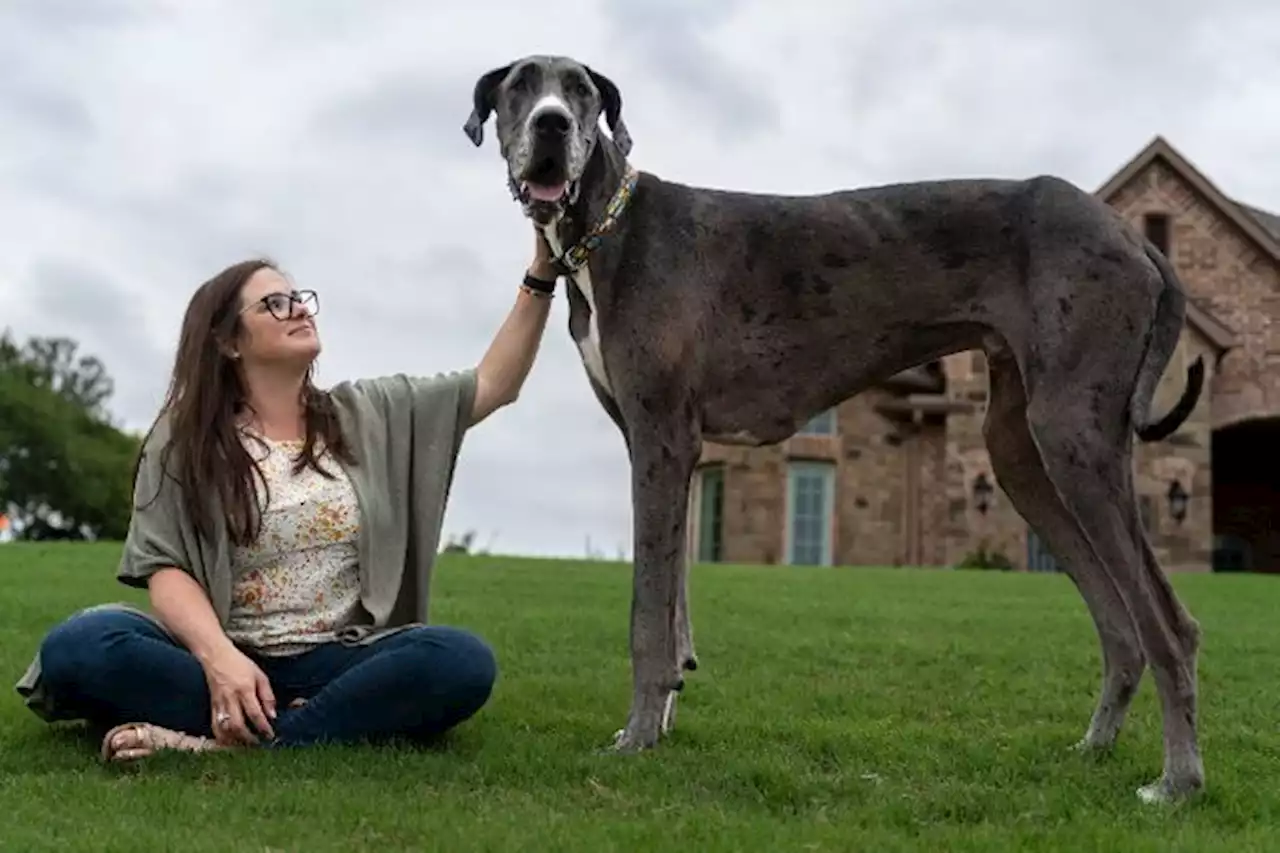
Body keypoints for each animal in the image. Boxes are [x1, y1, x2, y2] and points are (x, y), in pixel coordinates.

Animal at [465, 54, 1203, 804]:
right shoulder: (669, 452)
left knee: (1170, 624)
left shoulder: (661, 439)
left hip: (1073, 436)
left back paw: (1177, 780)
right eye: (520, 87)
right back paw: (1095, 747)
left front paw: (637, 738)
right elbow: (673, 607)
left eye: (580, 91)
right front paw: (661, 720)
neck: (608, 229)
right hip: (1021, 453)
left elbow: (648, 613)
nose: (551, 125)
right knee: (1121, 623)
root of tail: (1134, 237)